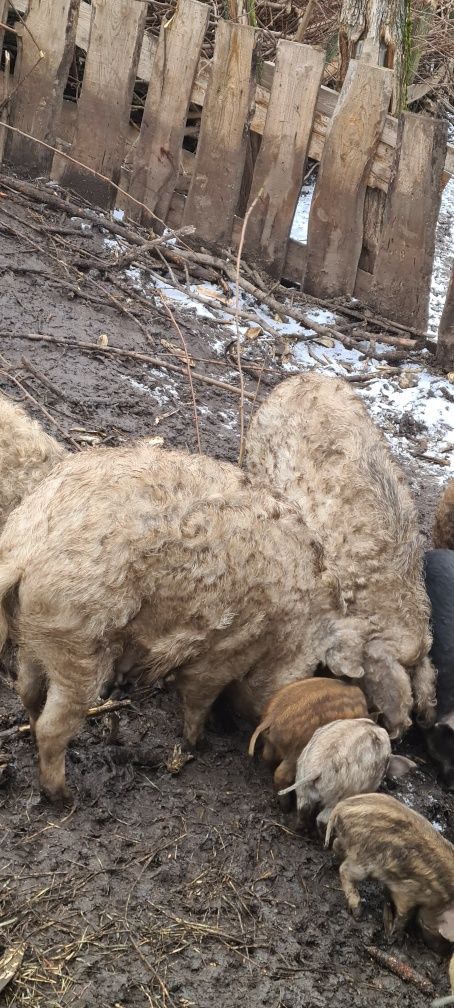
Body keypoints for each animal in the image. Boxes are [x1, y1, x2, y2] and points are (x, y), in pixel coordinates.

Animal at [0, 445, 373, 798]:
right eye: (313, 671)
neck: (288, 631)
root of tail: (26, 552)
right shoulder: (225, 650)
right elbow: (197, 694)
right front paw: (199, 743)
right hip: (77, 642)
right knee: (53, 725)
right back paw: (63, 796)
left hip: (37, 633)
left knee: (28, 690)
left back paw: (32, 736)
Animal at [324, 790, 453, 947]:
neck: (442, 894)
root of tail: (339, 808)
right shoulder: (408, 891)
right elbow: (404, 914)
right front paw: (394, 937)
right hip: (363, 861)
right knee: (344, 870)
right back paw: (358, 912)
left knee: (336, 845)